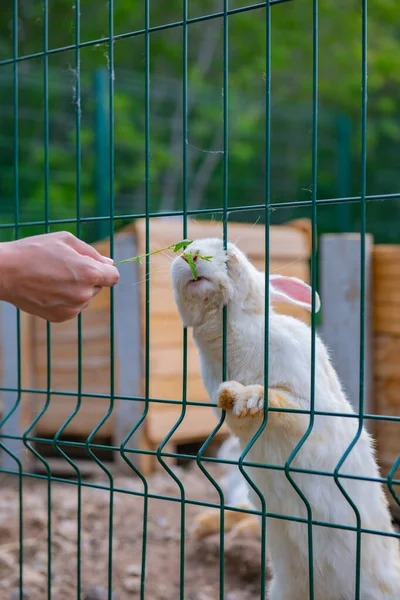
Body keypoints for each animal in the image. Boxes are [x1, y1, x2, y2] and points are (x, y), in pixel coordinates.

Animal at [171, 239, 400, 600]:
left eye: (227, 247)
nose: (190, 255)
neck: (230, 331)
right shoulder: (239, 425)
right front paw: (229, 395)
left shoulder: (307, 399)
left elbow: (284, 404)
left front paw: (251, 395)